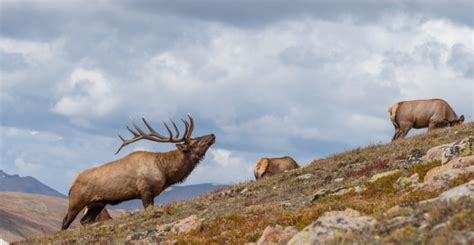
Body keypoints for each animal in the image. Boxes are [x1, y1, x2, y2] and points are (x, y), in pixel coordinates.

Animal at [60, 115, 216, 230]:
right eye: (195, 141)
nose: (213, 135)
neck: (165, 173)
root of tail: (71, 185)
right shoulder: (145, 191)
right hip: (76, 201)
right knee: (65, 221)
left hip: (97, 203)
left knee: (85, 220)